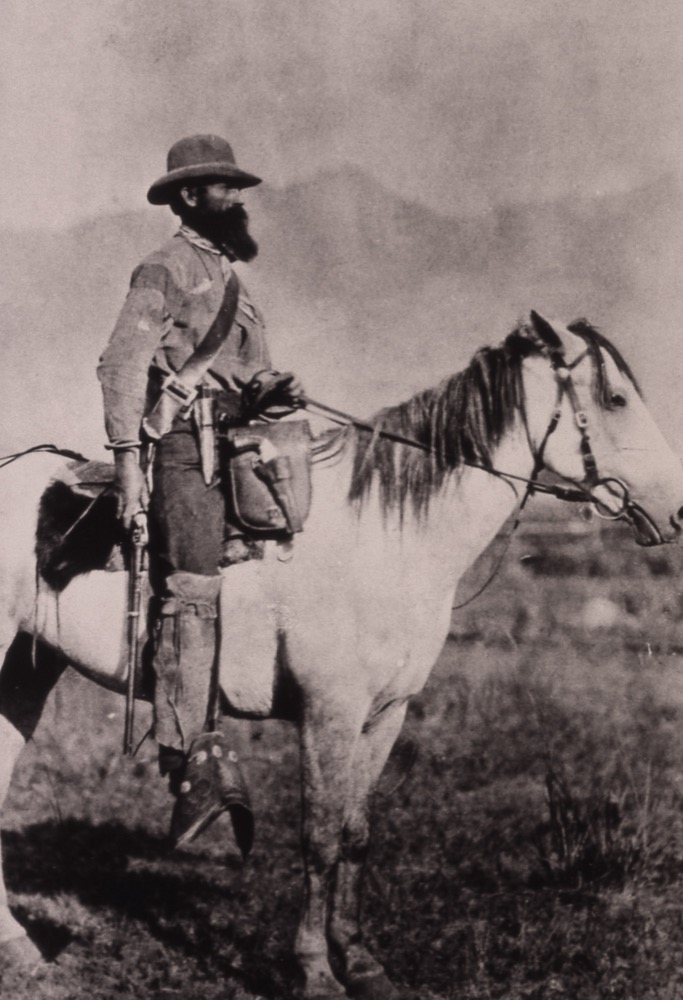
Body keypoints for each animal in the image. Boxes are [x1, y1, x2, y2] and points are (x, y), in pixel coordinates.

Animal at [1, 312, 683, 1000]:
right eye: (616, 398)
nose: (676, 511)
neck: (382, 535)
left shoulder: (386, 714)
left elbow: (356, 834)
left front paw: (359, 960)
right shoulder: (329, 711)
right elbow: (321, 837)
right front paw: (314, 969)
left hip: (27, 673)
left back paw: (19, 945)